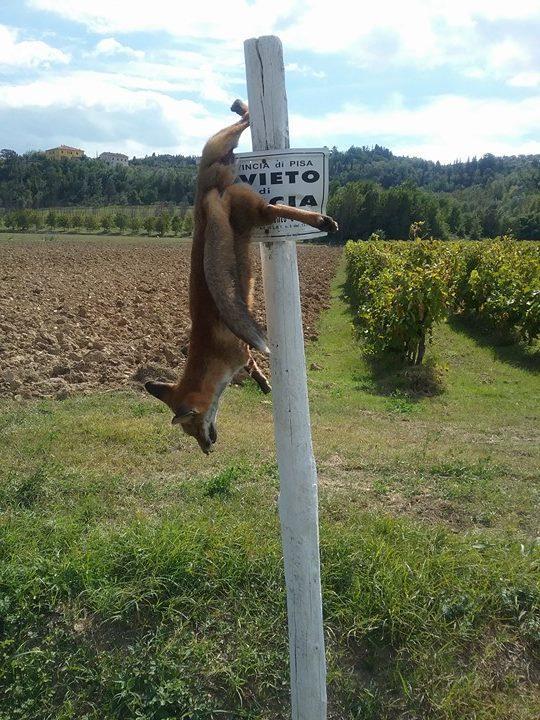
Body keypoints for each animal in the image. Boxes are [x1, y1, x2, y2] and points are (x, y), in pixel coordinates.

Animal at [144, 99, 338, 453]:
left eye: (191, 428)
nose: (207, 451)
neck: (211, 353)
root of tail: (205, 194)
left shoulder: (238, 347)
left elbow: (249, 361)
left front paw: (262, 380)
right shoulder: (242, 351)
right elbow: (252, 366)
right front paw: (263, 382)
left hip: (246, 197)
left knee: (275, 206)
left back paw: (320, 220)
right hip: (226, 159)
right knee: (244, 139)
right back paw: (241, 107)